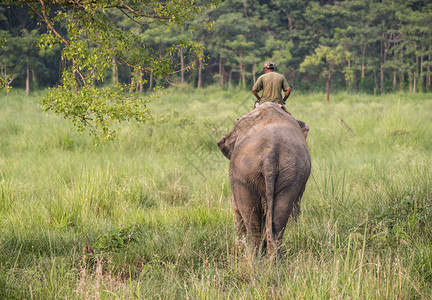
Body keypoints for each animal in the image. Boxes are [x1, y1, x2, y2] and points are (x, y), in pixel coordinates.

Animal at [219, 102, 310, 254]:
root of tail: (270, 153)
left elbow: (236, 208)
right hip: (290, 174)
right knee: (278, 220)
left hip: (244, 174)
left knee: (252, 221)